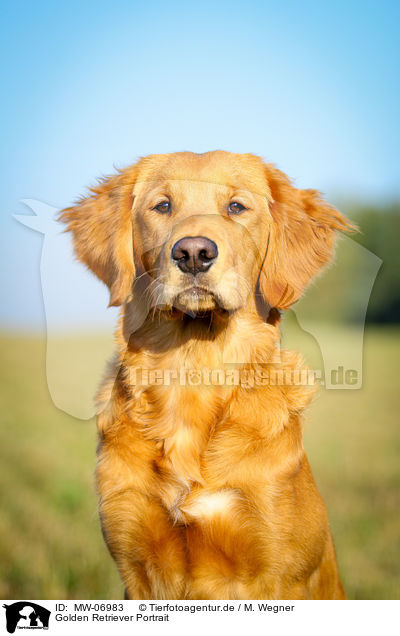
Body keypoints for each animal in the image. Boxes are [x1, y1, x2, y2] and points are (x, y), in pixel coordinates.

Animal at [59, 152, 354, 600]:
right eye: (162, 205)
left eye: (236, 207)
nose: (193, 253)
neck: (193, 369)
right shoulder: (134, 561)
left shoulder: (278, 572)